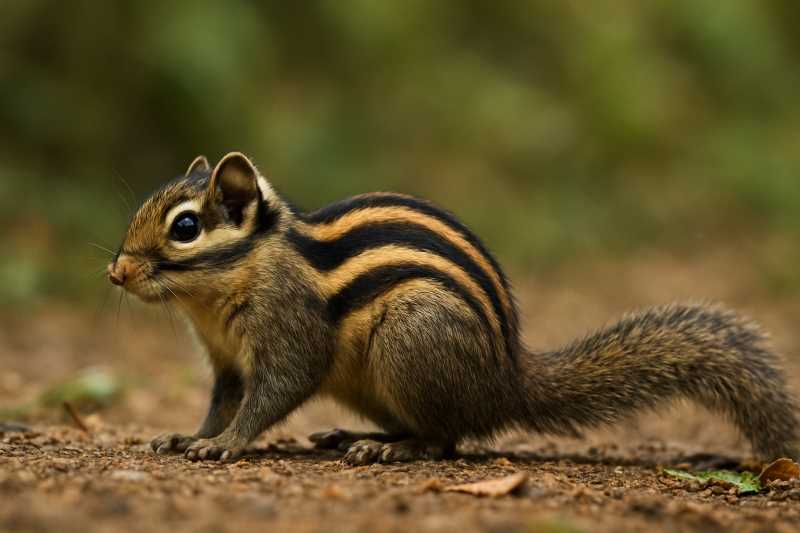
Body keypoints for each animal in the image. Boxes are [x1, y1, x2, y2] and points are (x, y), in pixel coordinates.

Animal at [108, 152, 799, 464]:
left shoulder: (290, 329)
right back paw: (359, 435)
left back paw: (392, 450)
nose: (115, 271)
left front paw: (228, 444)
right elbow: (223, 400)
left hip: (411, 338)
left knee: (447, 438)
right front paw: (192, 435)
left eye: (186, 227)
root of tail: (507, 380)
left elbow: (273, 392)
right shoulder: (226, 361)